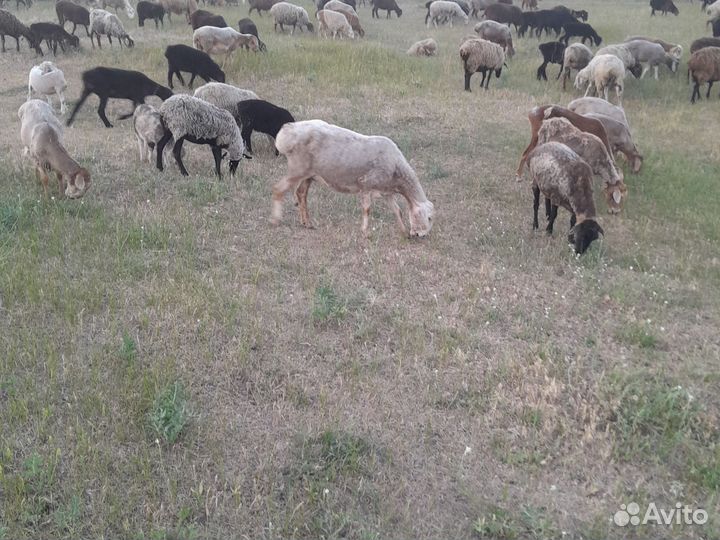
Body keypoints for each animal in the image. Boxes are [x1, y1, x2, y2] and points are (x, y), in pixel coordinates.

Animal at [271, 119, 435, 238]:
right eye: (429, 218)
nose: (421, 235)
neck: (397, 169)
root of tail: (288, 129)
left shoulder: (386, 191)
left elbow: (397, 210)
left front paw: (404, 232)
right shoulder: (366, 184)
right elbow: (367, 209)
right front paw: (365, 232)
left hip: (309, 174)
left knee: (300, 193)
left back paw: (307, 223)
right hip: (297, 168)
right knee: (278, 189)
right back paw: (275, 220)